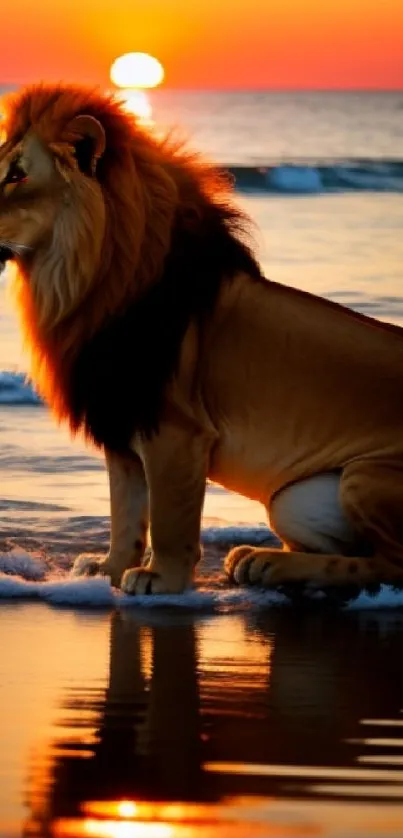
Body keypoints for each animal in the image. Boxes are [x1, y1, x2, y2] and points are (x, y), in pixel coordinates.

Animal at [0, 83, 403, 596]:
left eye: (17, 174)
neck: (78, 283)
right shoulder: (124, 416)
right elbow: (125, 512)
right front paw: (108, 570)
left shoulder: (176, 429)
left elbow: (169, 516)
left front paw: (160, 578)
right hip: (292, 498)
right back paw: (257, 560)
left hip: (364, 475)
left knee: (391, 563)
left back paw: (270, 564)